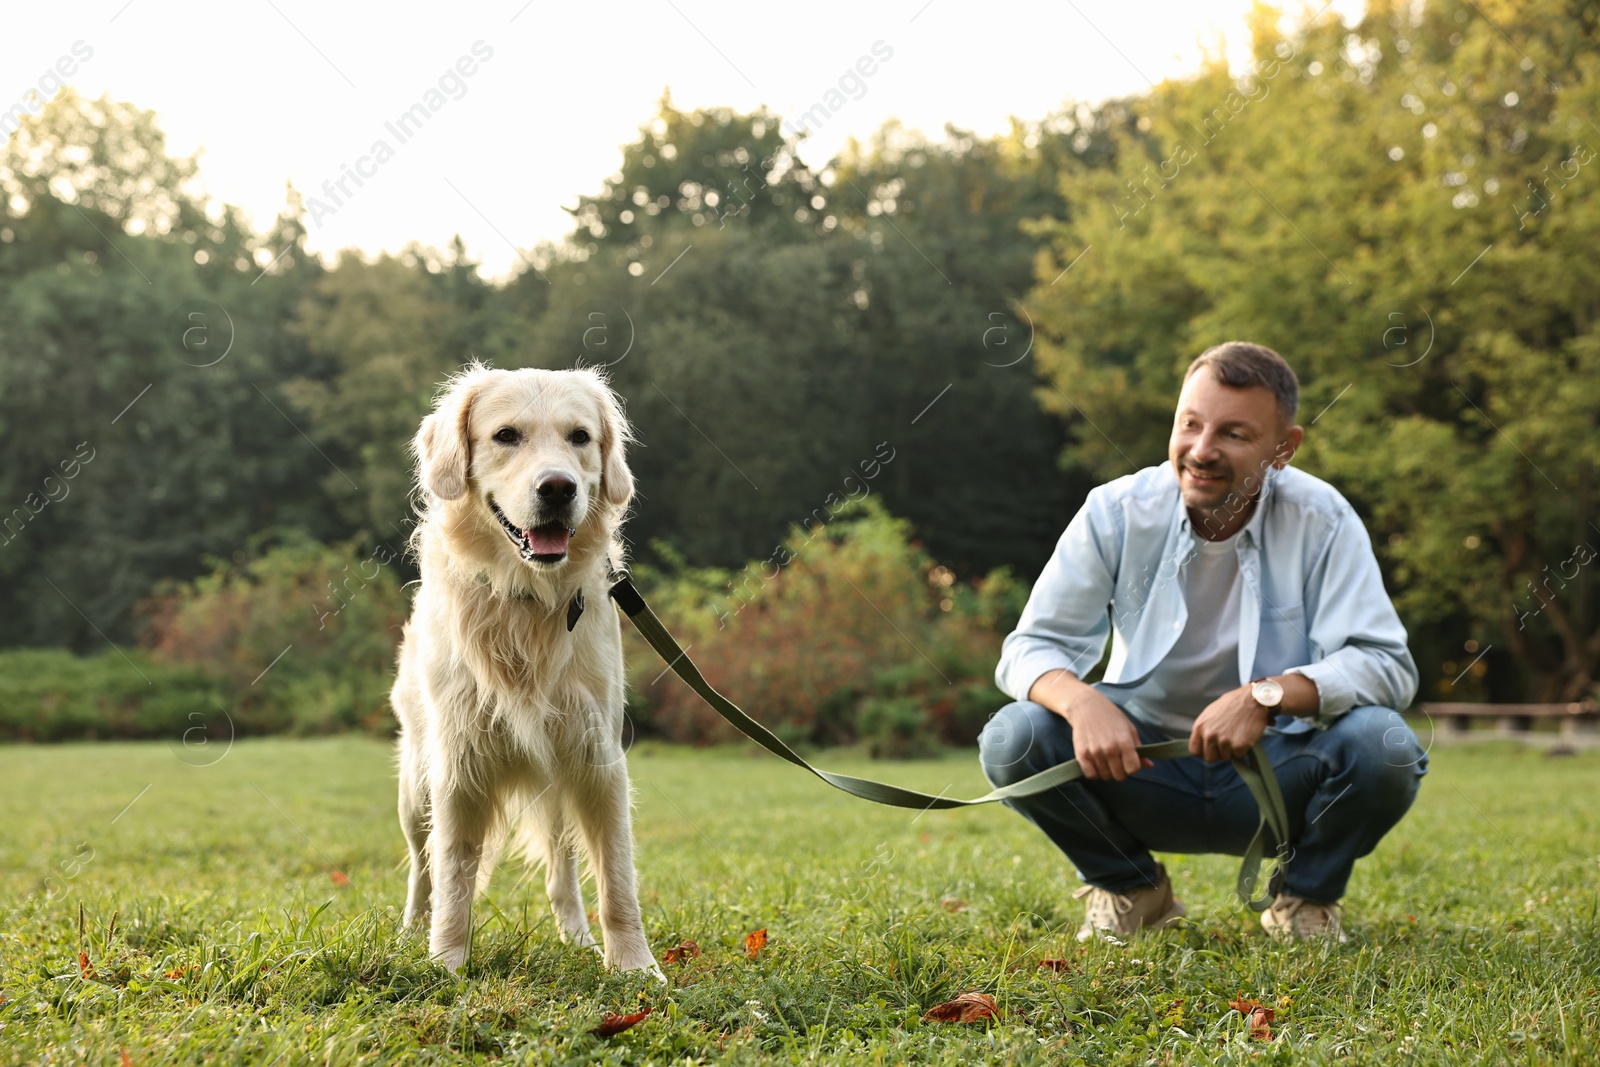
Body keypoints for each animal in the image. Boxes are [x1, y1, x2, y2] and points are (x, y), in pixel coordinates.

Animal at [390, 364, 659, 979]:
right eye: (506, 436)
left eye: (580, 437)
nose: (558, 487)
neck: (527, 600)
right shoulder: (458, 764)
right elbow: (453, 876)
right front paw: (446, 961)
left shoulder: (597, 757)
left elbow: (617, 882)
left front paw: (635, 968)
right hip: (415, 786)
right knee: (421, 867)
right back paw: (410, 932)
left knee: (563, 871)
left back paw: (578, 939)